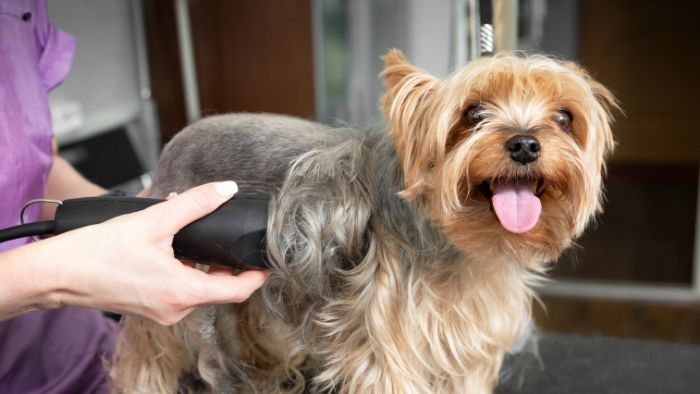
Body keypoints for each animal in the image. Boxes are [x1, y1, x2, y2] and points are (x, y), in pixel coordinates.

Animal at [108, 50, 612, 394]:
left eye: (564, 117)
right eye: (473, 113)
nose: (525, 144)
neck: (467, 248)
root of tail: (171, 145)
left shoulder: (469, 348)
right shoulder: (385, 344)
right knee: (147, 352)